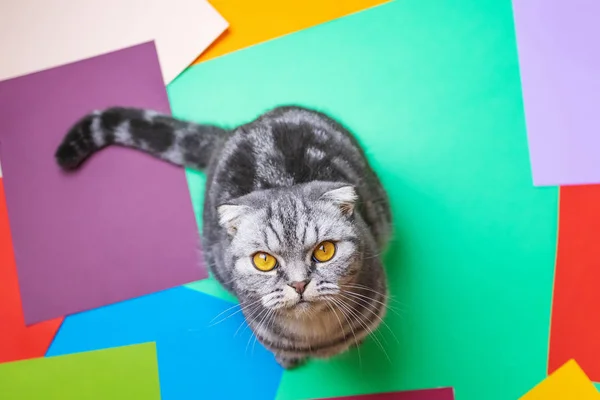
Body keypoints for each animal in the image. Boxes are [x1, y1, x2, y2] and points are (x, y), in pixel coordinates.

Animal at [55, 104, 394, 368]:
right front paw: (287, 358)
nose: (299, 284)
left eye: (324, 251)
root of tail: (237, 131)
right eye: (264, 261)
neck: (317, 335)